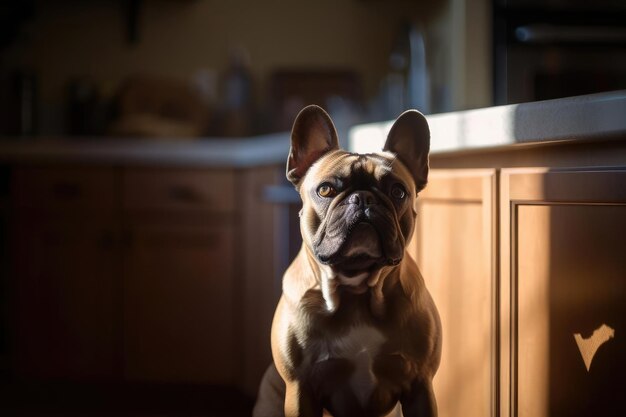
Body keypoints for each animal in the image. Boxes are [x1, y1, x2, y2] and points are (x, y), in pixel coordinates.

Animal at [252, 105, 438, 416]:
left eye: (398, 191)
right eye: (325, 190)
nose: (363, 198)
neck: (357, 290)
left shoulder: (420, 385)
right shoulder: (300, 389)